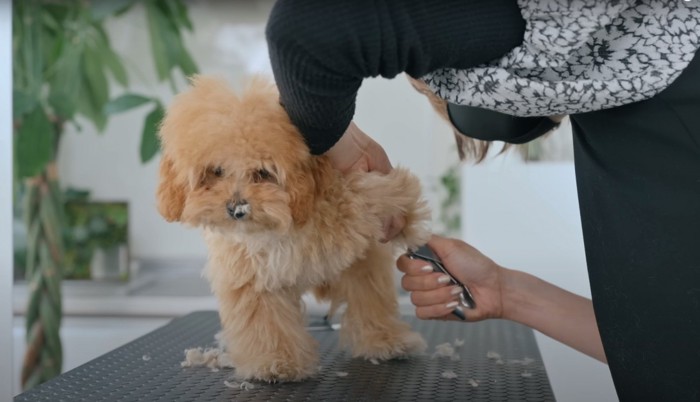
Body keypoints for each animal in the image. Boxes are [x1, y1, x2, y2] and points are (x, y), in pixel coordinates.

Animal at [156, 76, 432, 384]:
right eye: (215, 171)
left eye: (263, 172)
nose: (237, 208)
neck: (278, 230)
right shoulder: (255, 279)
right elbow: (266, 324)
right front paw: (275, 362)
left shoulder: (336, 212)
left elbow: (360, 199)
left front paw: (403, 199)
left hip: (363, 267)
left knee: (371, 302)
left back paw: (386, 340)